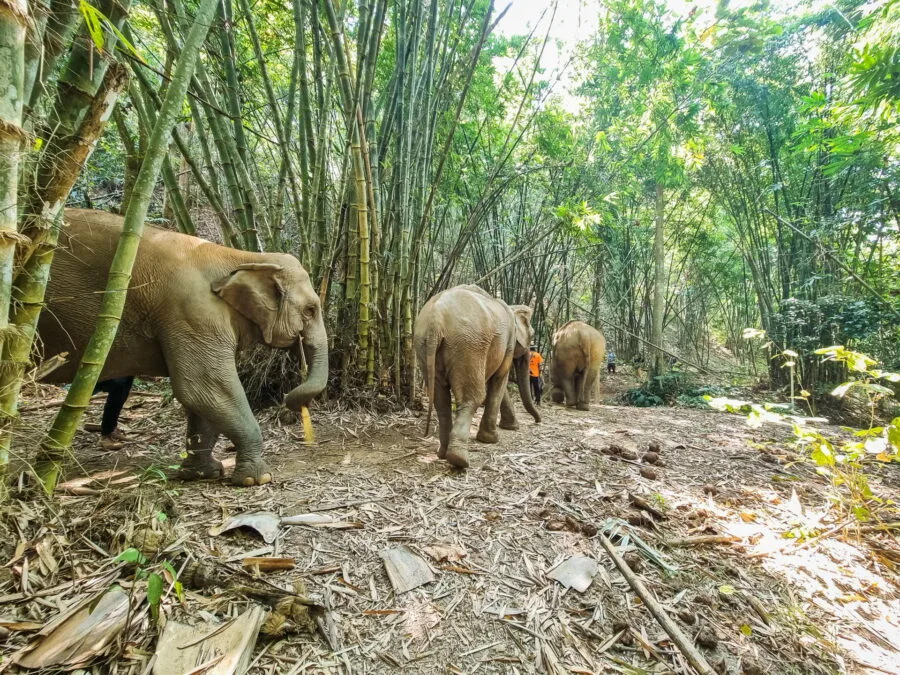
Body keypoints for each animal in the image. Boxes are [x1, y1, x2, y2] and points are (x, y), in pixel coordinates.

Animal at [36, 208, 328, 486]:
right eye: (310, 310)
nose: (291, 401)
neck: (239, 256)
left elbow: (202, 398)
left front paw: (202, 474)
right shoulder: (192, 314)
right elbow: (205, 388)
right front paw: (256, 479)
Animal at [414, 284, 540, 469]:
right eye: (532, 335)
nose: (538, 421)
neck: (511, 307)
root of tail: (435, 319)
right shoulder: (507, 344)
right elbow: (499, 379)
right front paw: (493, 438)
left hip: (424, 345)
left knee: (440, 400)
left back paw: (442, 454)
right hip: (469, 345)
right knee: (472, 398)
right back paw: (459, 460)